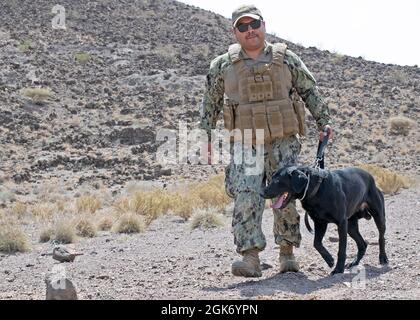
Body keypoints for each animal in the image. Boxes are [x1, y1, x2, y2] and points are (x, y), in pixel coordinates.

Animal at [260, 166, 388, 274]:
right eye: (271, 179)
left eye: (278, 181)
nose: (261, 193)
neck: (316, 190)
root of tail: (371, 178)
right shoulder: (319, 223)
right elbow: (316, 243)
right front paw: (329, 260)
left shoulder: (341, 223)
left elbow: (341, 249)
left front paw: (338, 269)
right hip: (351, 226)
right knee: (362, 244)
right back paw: (354, 262)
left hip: (378, 216)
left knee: (381, 237)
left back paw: (383, 258)